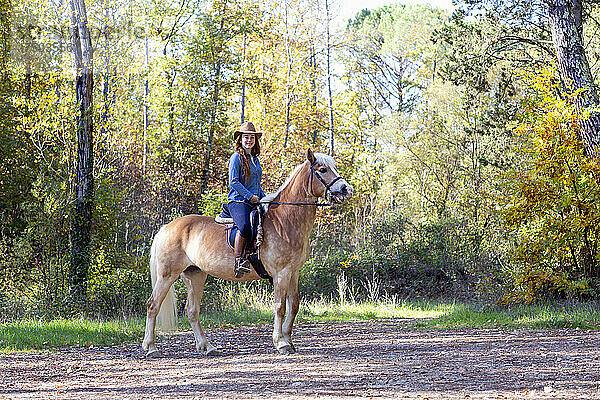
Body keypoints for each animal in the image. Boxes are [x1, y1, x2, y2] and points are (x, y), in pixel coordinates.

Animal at [143, 148, 354, 356]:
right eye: (323, 170)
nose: (346, 188)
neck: (285, 220)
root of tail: (166, 227)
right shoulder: (281, 273)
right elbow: (280, 307)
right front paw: (281, 343)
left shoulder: (293, 272)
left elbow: (294, 305)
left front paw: (288, 340)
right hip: (167, 275)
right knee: (153, 305)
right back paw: (151, 347)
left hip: (195, 275)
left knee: (192, 310)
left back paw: (207, 346)